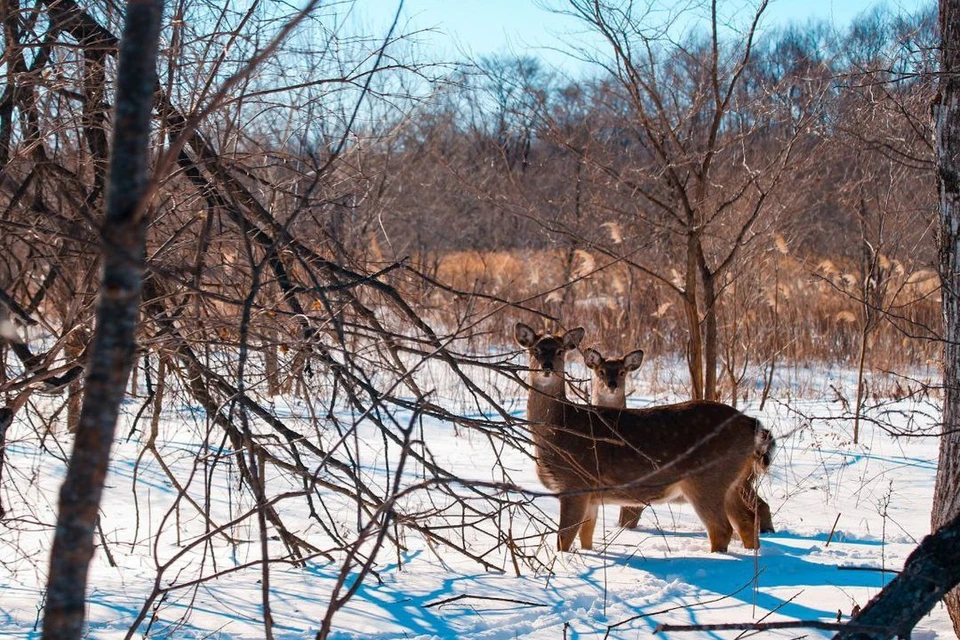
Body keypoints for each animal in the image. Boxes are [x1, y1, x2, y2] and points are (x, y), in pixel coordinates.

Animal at [580, 344, 776, 536]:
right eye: (601, 371)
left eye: (622, 372)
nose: (611, 384)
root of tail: (753, 423)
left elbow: (628, 518)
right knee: (758, 507)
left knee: (757, 506)